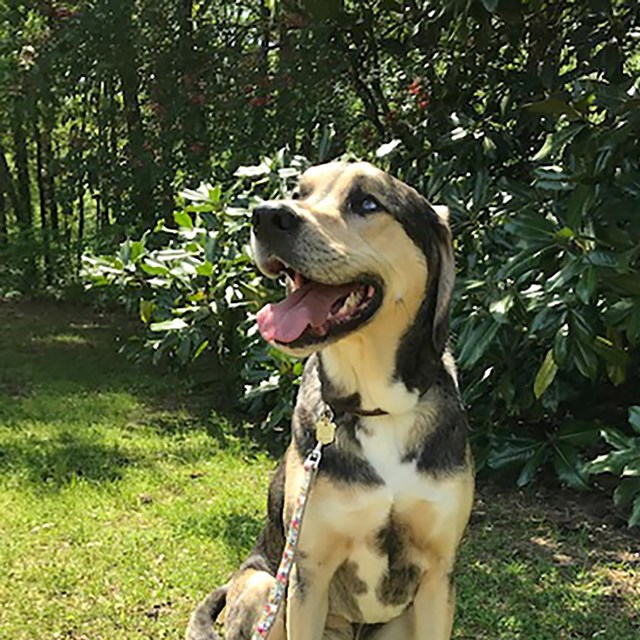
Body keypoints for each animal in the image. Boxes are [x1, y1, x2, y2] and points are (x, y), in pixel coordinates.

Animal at [186, 161, 476, 640]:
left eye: (367, 202)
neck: (378, 406)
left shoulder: (438, 577)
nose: (266, 216)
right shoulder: (308, 574)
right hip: (266, 585)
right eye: (298, 193)